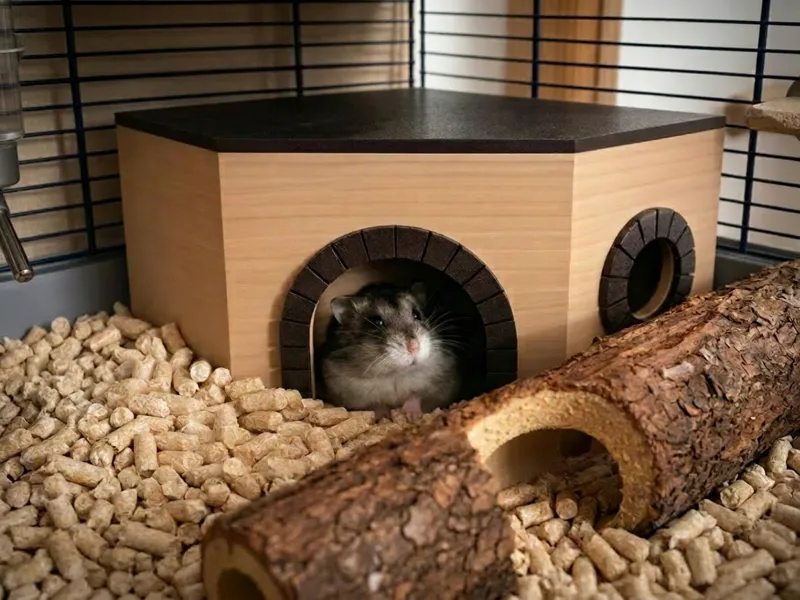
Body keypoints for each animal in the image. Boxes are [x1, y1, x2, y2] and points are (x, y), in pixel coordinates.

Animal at [316, 281, 461, 419]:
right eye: (376, 322)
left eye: (417, 314)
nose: (414, 346)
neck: (395, 373)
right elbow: (375, 404)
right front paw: (384, 417)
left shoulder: (440, 384)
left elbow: (417, 395)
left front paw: (412, 416)